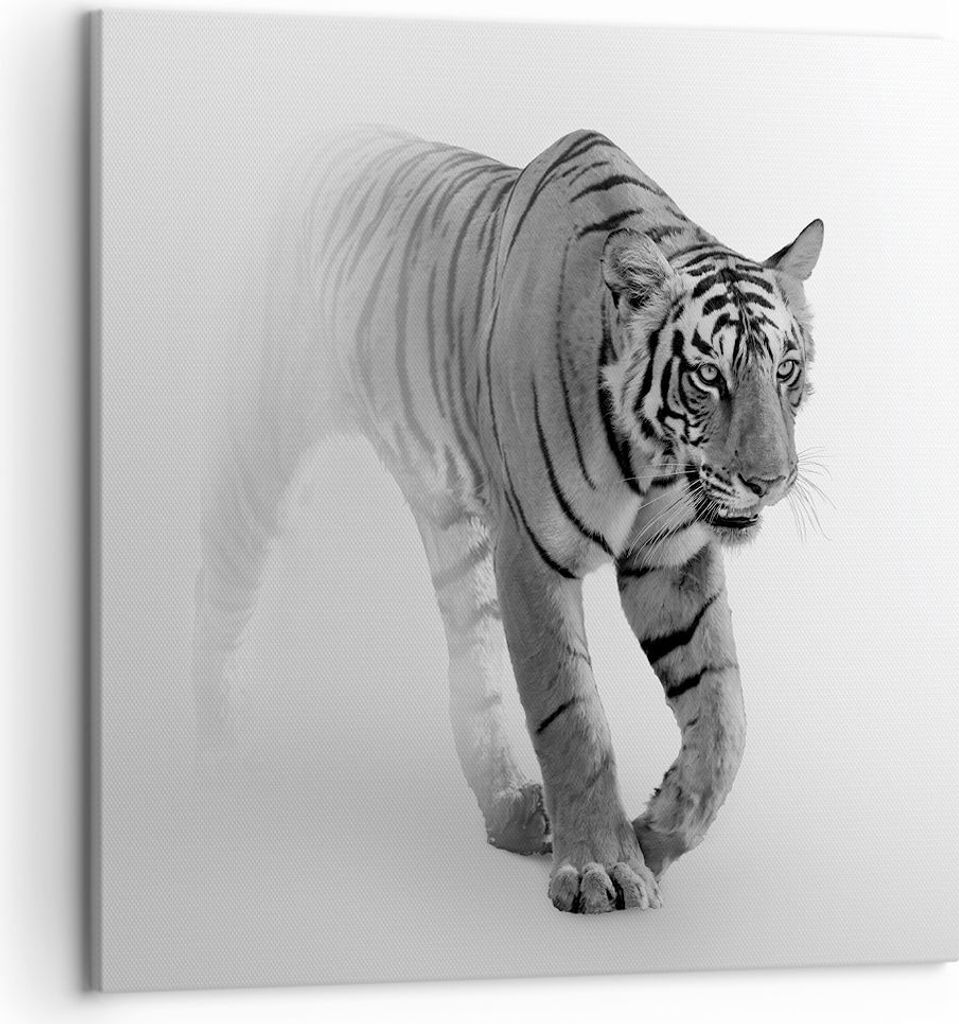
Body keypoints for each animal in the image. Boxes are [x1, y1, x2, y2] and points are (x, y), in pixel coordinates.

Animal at [192, 125, 823, 914]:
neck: (653, 460)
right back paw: (210, 749)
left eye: (785, 370)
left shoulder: (670, 558)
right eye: (709, 375)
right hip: (261, 442)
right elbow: (573, 715)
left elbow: (725, 715)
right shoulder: (532, 553)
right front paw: (601, 868)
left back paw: (511, 814)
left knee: (473, 666)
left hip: (454, 526)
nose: (770, 481)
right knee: (219, 582)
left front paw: (656, 832)